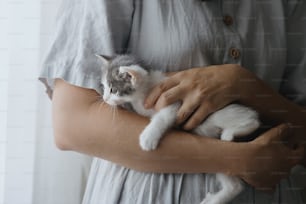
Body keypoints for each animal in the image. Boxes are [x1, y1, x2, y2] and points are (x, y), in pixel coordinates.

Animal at [97, 53, 260, 204]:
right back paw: (215, 199)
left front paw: (148, 138)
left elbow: (161, 119)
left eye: (112, 89)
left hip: (221, 113)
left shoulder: (175, 104)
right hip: (220, 158)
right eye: (104, 87)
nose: (104, 99)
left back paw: (231, 133)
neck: (145, 91)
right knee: (236, 186)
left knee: (253, 121)